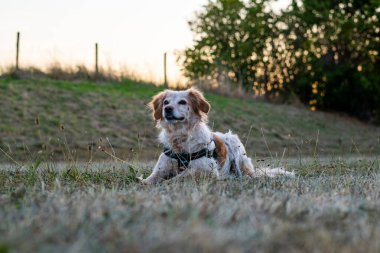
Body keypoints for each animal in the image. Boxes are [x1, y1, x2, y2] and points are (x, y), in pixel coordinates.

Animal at [142, 88, 294, 184]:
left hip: (236, 150)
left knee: (248, 175)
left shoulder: (207, 170)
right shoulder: (160, 170)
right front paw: (143, 183)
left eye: (182, 102)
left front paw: (167, 183)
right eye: (166, 102)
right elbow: (149, 180)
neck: (179, 138)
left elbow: (182, 176)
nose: (167, 109)